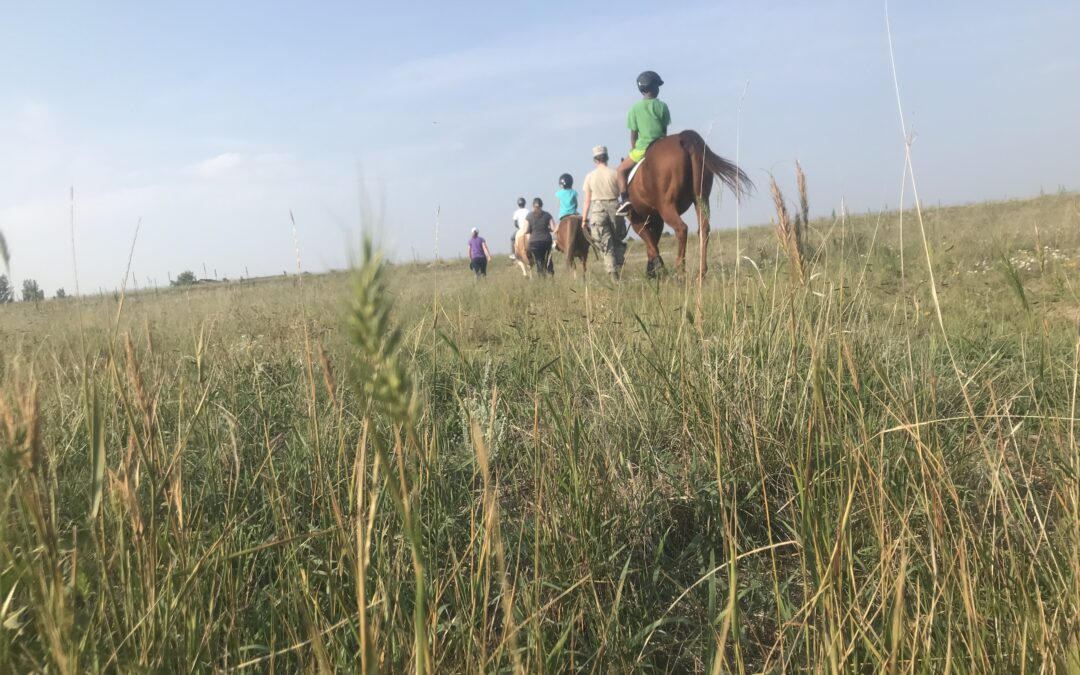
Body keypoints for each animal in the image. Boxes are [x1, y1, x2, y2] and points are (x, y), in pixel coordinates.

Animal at [626, 129, 751, 276]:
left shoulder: (638, 222)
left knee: (681, 229)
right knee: (703, 229)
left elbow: (651, 245)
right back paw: (701, 272)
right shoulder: (656, 222)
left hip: (667, 206)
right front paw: (654, 269)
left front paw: (656, 269)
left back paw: (680, 270)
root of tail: (682, 138)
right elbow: (653, 243)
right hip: (701, 199)